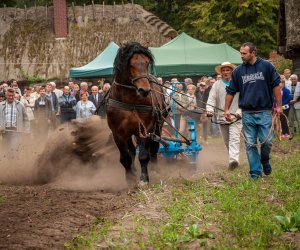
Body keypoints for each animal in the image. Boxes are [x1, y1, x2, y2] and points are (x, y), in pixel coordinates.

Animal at [106, 42, 168, 186]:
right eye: (130, 64)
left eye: (146, 63)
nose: (144, 90)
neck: (130, 100)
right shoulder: (117, 132)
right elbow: (125, 157)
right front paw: (129, 178)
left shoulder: (147, 128)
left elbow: (144, 155)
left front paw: (144, 179)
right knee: (132, 150)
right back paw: (134, 170)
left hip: (157, 126)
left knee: (154, 148)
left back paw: (155, 169)